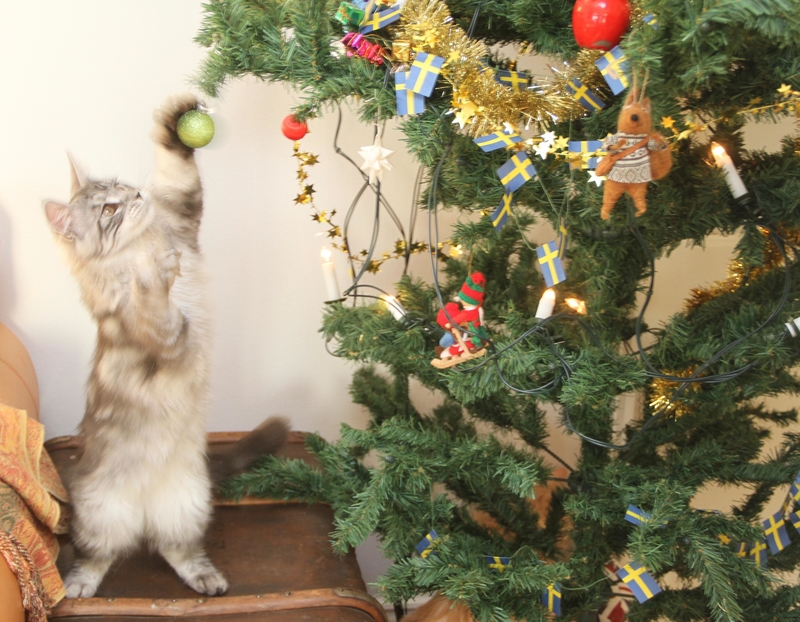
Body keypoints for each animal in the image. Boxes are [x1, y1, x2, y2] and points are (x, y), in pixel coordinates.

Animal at [43, 96, 288, 600]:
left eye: (123, 187)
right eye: (109, 208)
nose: (138, 196)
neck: (140, 247)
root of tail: (141, 513)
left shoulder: (180, 216)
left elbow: (178, 173)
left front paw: (176, 116)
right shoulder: (162, 336)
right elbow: (154, 305)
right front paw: (152, 277)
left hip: (188, 503)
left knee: (177, 549)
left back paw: (206, 578)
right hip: (97, 512)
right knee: (97, 555)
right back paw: (77, 585)